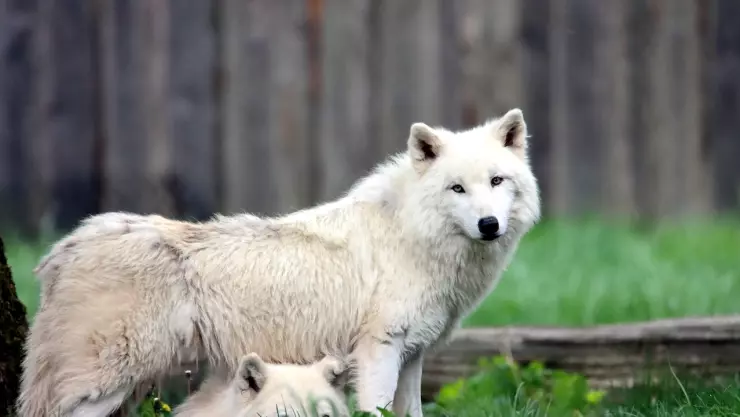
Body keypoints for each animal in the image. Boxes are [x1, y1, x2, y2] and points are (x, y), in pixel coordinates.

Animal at [17, 108, 540, 417]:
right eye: (457, 188)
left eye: (497, 181)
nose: (489, 224)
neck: (412, 236)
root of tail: (62, 249)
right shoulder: (379, 353)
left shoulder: (413, 356)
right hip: (99, 391)